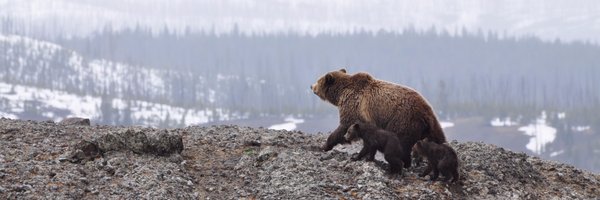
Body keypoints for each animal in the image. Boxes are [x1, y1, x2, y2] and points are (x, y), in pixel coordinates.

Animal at [312, 69, 448, 166]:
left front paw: (324, 146)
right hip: (431, 126)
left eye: (318, 80)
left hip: (403, 121)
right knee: (438, 139)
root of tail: (426, 112)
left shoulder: (353, 106)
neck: (341, 93)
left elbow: (343, 127)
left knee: (402, 143)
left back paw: (404, 163)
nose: (311, 86)